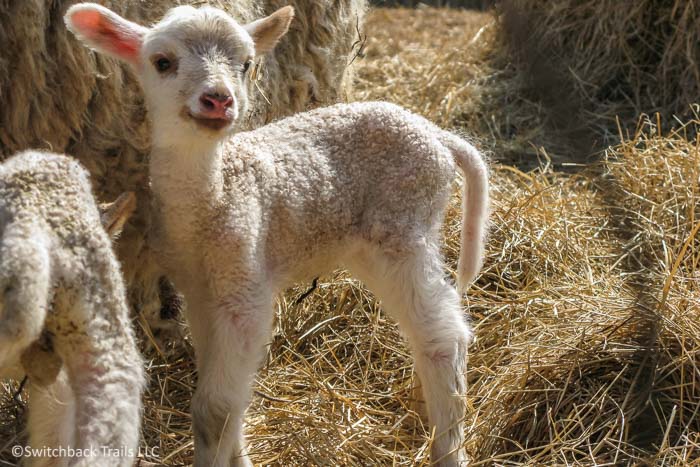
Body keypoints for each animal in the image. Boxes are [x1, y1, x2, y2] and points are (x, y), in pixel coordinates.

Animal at [68, 4, 490, 467]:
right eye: (163, 62)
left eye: (246, 64)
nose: (219, 100)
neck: (211, 199)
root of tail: (435, 133)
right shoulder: (199, 291)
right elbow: (229, 397)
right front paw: (239, 457)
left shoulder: (245, 286)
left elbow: (213, 409)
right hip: (376, 241)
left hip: (404, 227)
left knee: (444, 336)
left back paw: (448, 447)